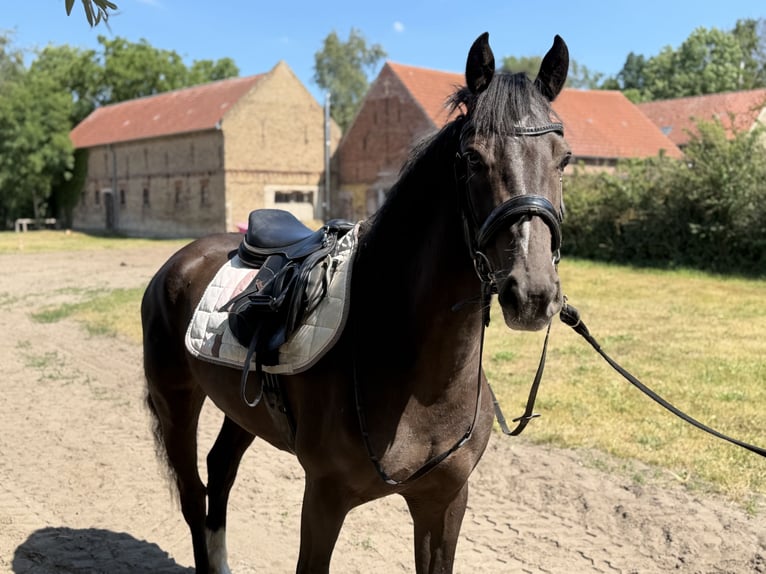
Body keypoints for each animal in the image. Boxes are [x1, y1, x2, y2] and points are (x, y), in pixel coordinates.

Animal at [141, 31, 571, 574]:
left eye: (564, 158)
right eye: (473, 158)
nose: (532, 293)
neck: (415, 379)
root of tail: (178, 262)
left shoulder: (444, 502)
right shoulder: (324, 499)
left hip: (242, 409)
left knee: (219, 473)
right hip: (175, 402)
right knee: (194, 496)